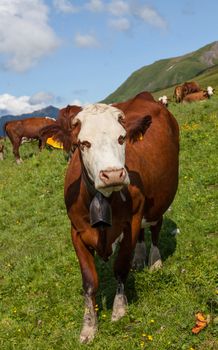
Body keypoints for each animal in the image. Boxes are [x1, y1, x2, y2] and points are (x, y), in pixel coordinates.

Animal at [41, 91, 179, 344]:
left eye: (121, 138)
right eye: (83, 143)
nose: (113, 174)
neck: (101, 197)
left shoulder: (130, 222)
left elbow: (120, 267)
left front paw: (119, 309)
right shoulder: (76, 232)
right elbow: (89, 282)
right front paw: (88, 326)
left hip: (158, 200)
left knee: (155, 227)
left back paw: (154, 261)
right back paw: (139, 258)